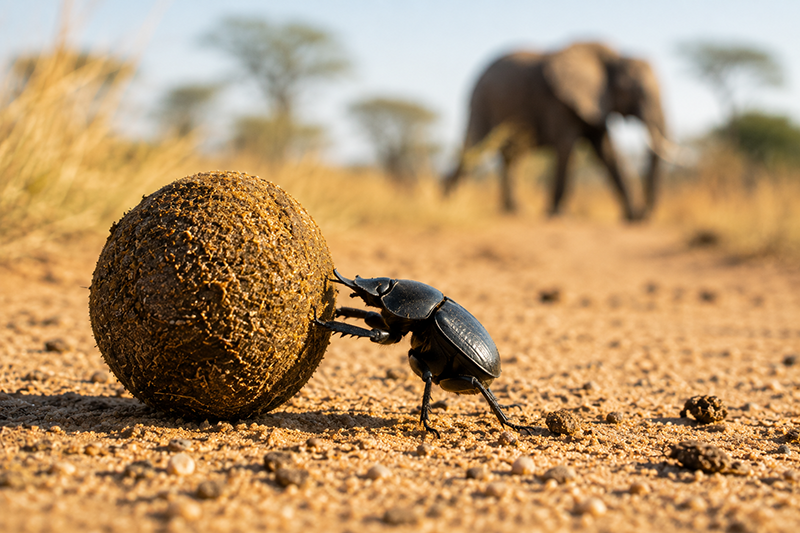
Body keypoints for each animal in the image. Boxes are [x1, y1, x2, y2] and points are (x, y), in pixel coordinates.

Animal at [442, 42, 668, 220]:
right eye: (637, 91)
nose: (645, 215)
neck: (614, 56)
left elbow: (607, 152)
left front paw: (631, 219)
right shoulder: (559, 102)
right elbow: (567, 146)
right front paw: (558, 215)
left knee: (511, 156)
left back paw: (514, 211)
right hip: (482, 101)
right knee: (475, 146)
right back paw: (448, 202)